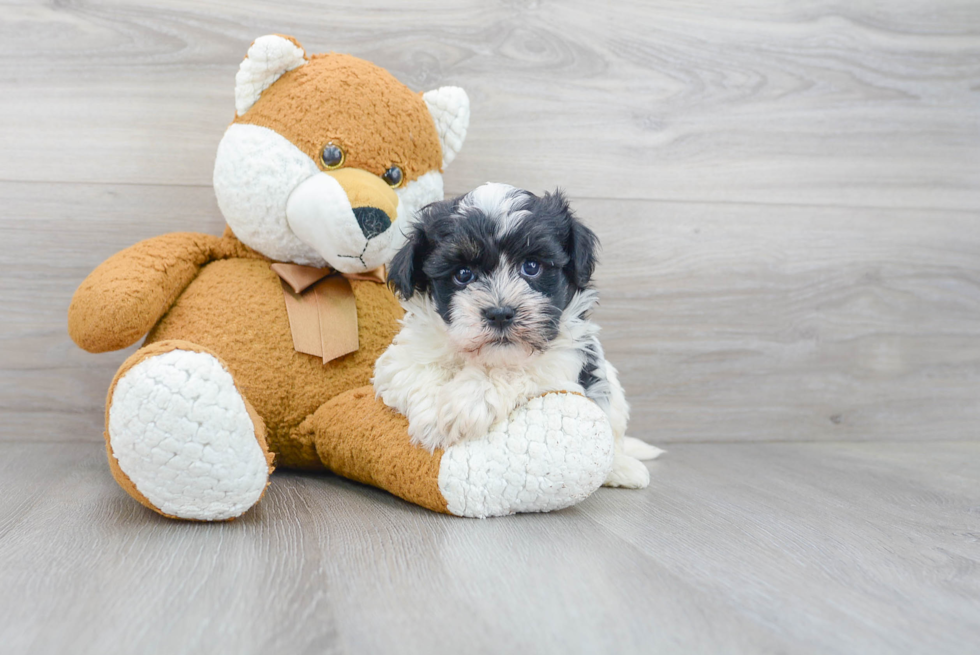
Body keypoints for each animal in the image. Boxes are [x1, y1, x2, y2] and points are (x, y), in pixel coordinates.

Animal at [372, 183, 664, 486]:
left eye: (531, 266)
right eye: (463, 274)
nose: (500, 313)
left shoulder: (563, 358)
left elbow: (516, 370)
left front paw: (466, 401)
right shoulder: (403, 357)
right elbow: (415, 369)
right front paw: (433, 417)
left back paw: (624, 468)